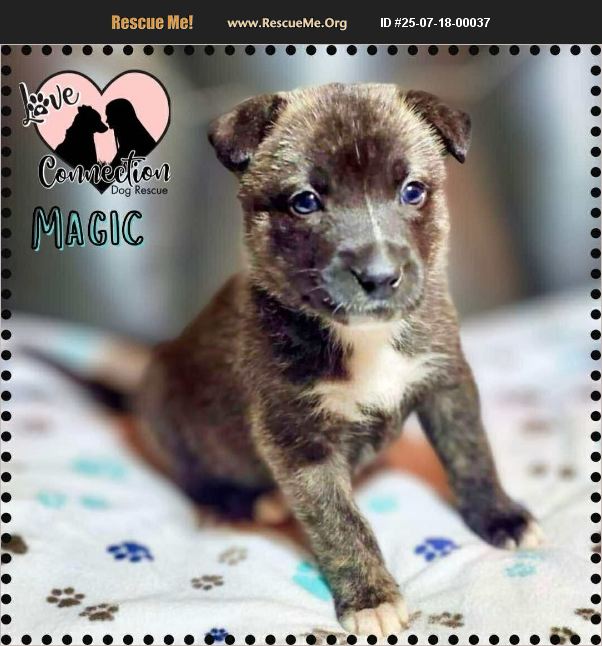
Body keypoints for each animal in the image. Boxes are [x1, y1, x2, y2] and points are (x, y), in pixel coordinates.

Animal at [137, 83, 542, 636]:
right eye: (305, 202)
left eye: (412, 190)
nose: (380, 276)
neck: (366, 338)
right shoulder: (298, 438)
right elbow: (339, 523)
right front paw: (371, 597)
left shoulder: (446, 381)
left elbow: (472, 454)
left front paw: (502, 517)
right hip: (166, 411)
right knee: (195, 475)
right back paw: (233, 504)